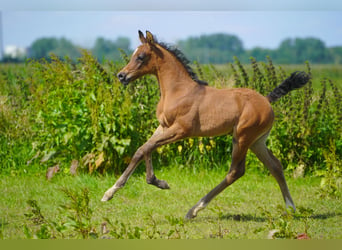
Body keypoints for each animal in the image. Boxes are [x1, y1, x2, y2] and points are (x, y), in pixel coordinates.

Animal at [101, 29, 310, 219]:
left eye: (141, 56)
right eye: (133, 54)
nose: (121, 76)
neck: (178, 91)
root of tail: (266, 100)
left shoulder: (181, 130)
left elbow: (147, 147)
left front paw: (154, 183)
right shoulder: (163, 126)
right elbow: (142, 150)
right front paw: (114, 191)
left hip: (242, 137)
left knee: (236, 171)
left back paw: (194, 210)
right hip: (257, 141)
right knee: (275, 166)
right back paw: (291, 208)